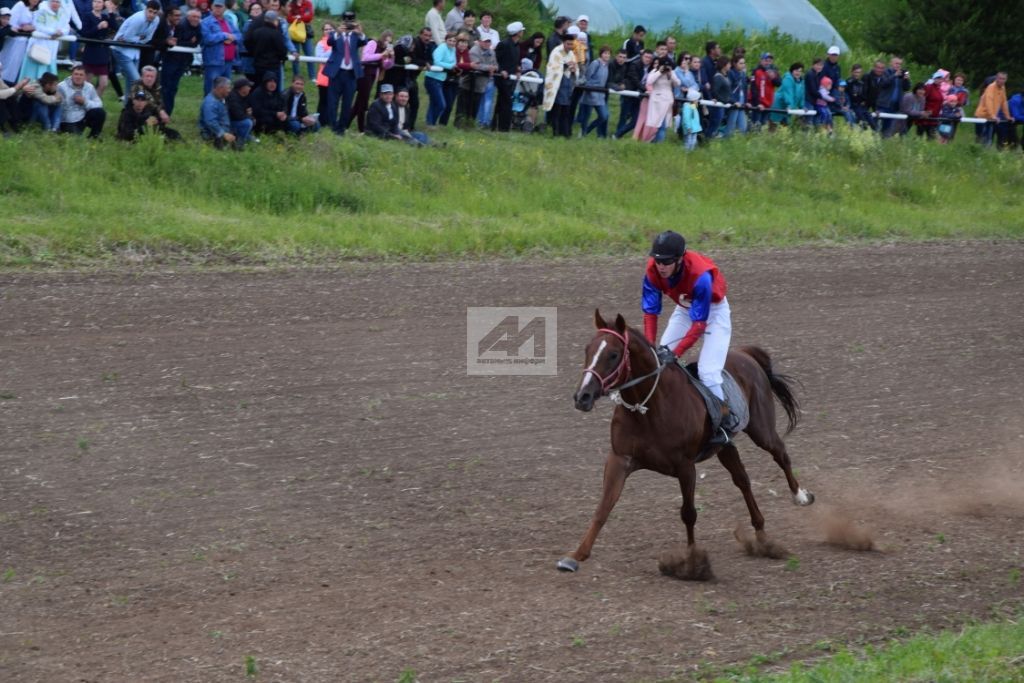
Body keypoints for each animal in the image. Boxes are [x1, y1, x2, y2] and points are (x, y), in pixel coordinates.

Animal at [561, 313, 815, 581]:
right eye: (587, 349)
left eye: (613, 354)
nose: (582, 397)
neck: (647, 409)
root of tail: (745, 354)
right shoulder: (619, 459)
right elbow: (603, 508)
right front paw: (575, 556)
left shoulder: (685, 466)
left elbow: (689, 513)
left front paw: (693, 562)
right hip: (725, 446)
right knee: (743, 480)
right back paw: (762, 535)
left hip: (761, 429)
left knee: (780, 454)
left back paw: (801, 496)